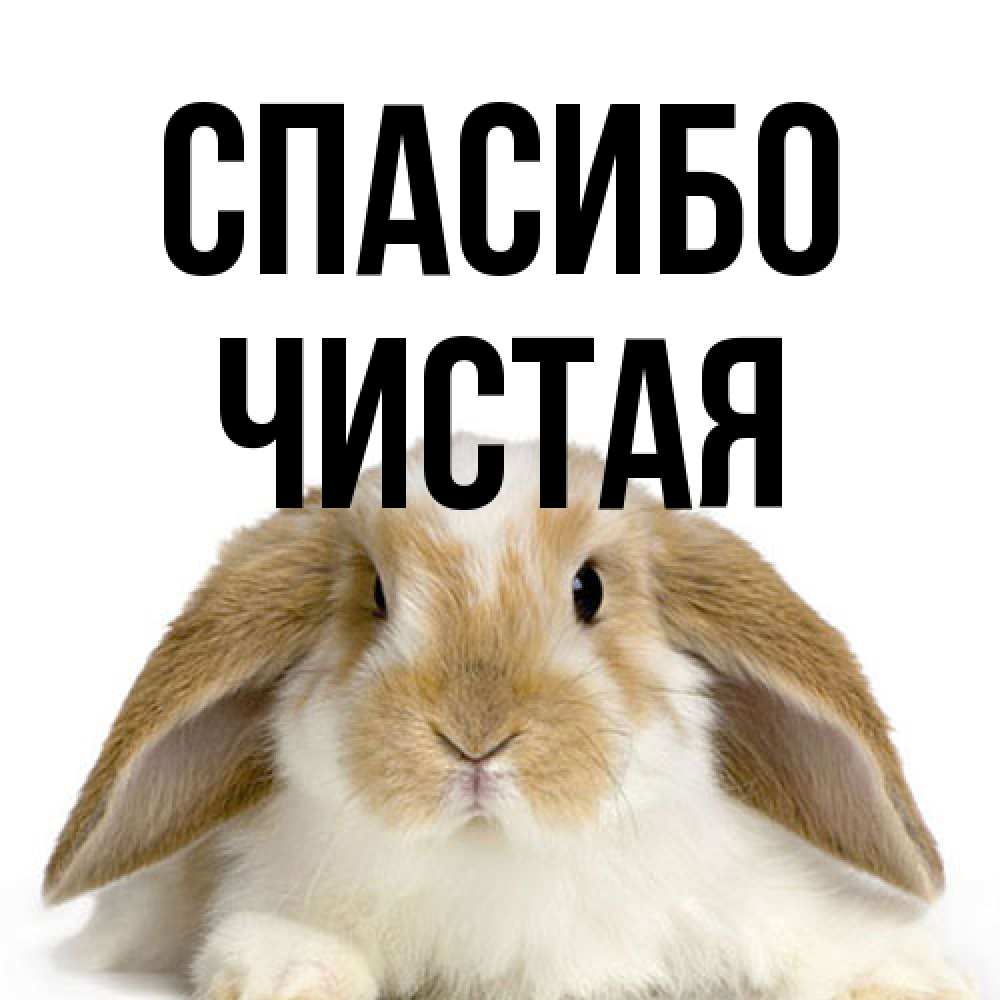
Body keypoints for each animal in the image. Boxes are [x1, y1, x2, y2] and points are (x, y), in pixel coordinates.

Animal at [45, 436, 975, 1000]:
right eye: (376, 596)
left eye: (589, 589)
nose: (475, 737)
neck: (495, 857)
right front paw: (291, 976)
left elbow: (816, 938)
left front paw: (909, 977)